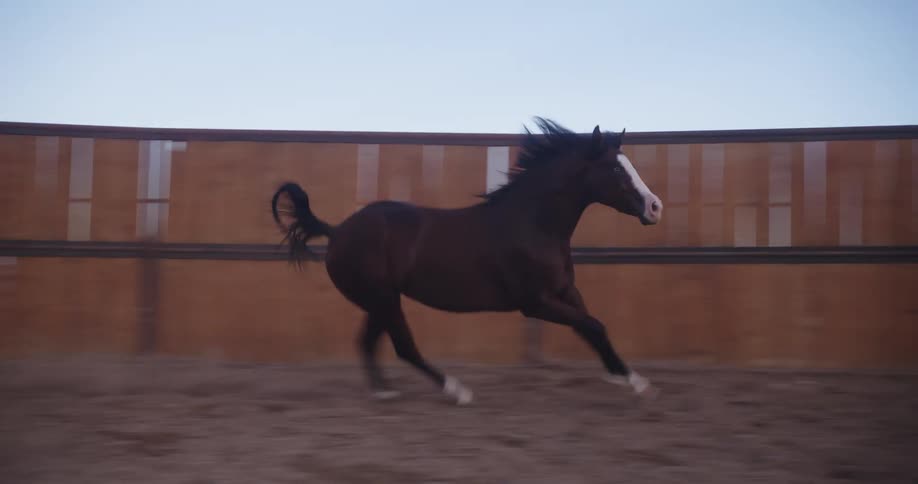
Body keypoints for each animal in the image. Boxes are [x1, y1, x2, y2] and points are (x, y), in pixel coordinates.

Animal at [270, 118, 663, 405]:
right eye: (616, 170)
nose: (655, 207)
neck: (532, 224)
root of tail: (336, 231)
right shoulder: (535, 303)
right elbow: (593, 326)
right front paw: (635, 382)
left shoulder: (566, 292)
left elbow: (593, 327)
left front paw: (627, 376)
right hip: (384, 299)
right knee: (403, 347)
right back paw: (456, 390)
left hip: (379, 301)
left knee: (368, 342)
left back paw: (384, 391)